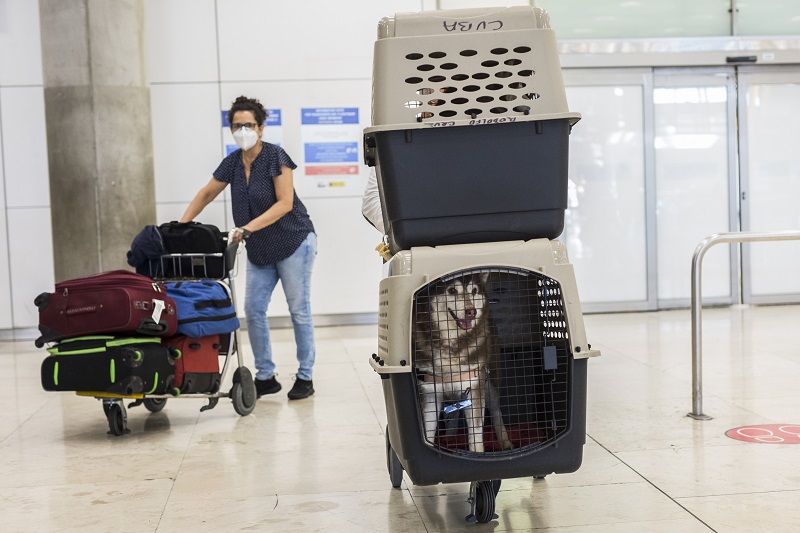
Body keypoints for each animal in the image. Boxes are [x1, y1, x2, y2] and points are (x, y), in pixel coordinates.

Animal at [412, 272, 512, 450]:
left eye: (474, 290)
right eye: (452, 290)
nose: (471, 312)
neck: (451, 345)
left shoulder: (474, 387)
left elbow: (475, 435)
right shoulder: (429, 392)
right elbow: (428, 431)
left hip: (491, 379)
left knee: (495, 409)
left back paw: (505, 442)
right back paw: (450, 438)